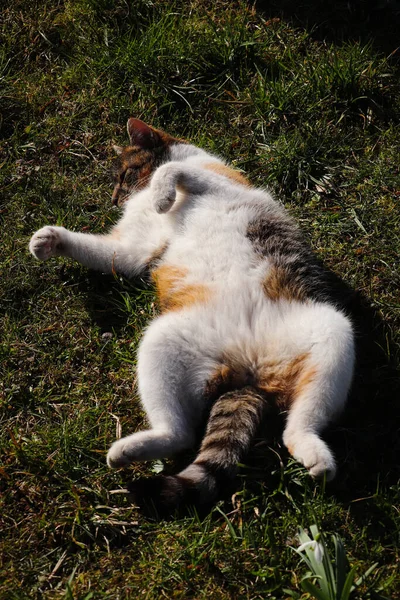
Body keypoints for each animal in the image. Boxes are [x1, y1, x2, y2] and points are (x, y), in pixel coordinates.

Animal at [28, 119, 354, 512]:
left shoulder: (219, 180)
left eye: (125, 174)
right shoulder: (134, 249)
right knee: (182, 433)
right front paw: (50, 240)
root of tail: (249, 372)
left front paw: (161, 195)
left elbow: (170, 169)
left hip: (334, 331)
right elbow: (112, 253)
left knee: (297, 423)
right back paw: (131, 449)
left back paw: (315, 455)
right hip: (165, 340)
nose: (115, 199)